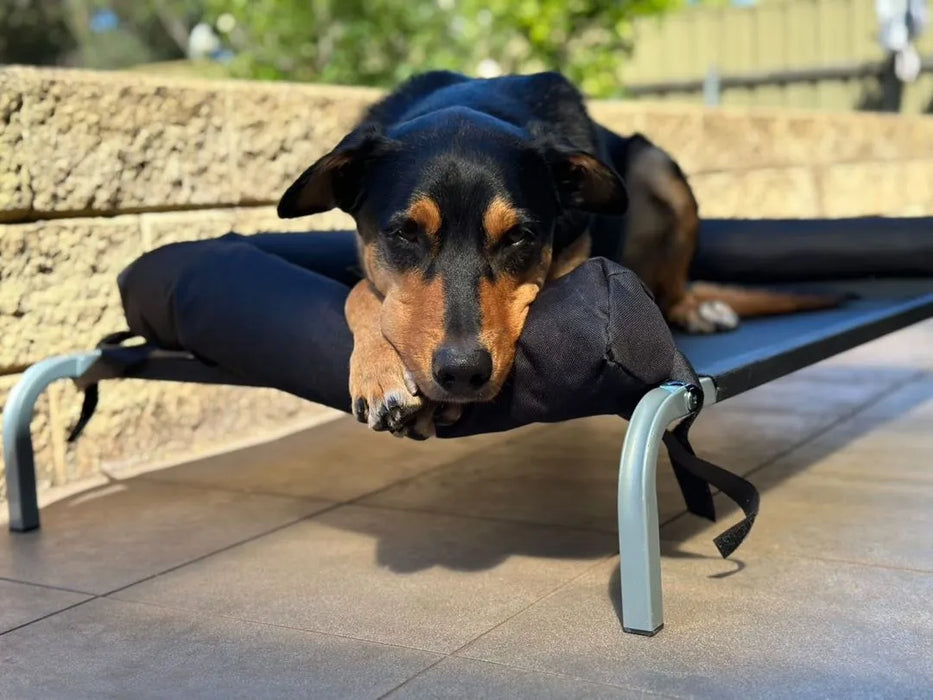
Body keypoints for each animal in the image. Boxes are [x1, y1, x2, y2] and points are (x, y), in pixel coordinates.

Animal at [276, 68, 836, 434]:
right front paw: (380, 370)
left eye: (519, 237)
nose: (462, 372)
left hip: (658, 166)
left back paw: (699, 309)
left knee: (674, 289)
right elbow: (359, 292)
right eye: (405, 234)